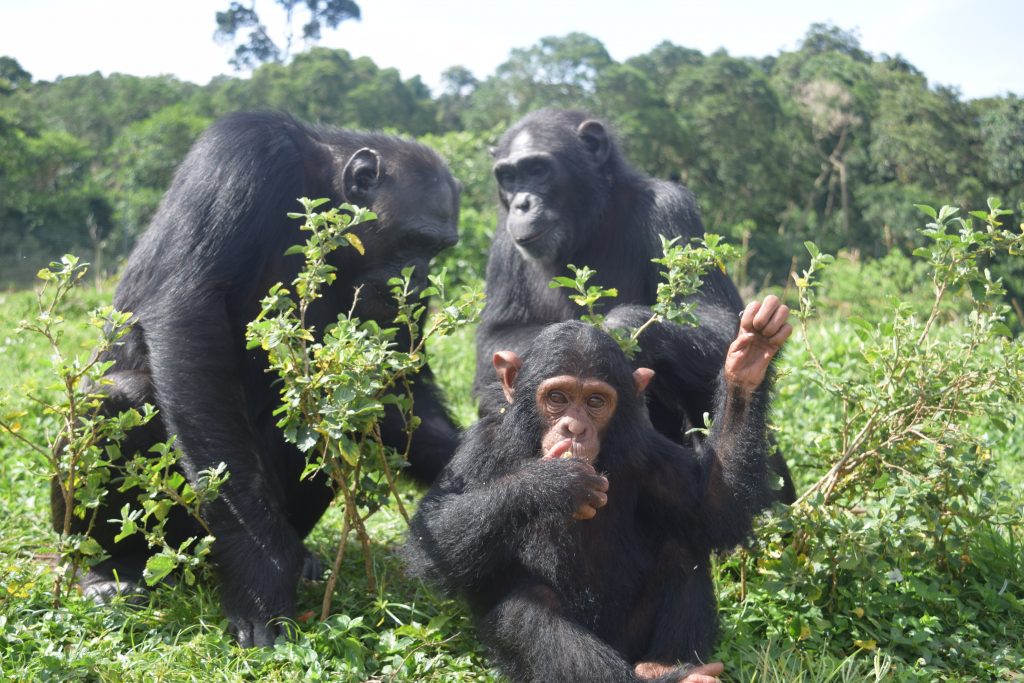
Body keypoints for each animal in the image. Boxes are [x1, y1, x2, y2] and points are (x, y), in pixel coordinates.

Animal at [50, 111, 460, 647]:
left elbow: (394, 389)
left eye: (440, 250)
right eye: (415, 240)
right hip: (175, 538)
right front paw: (259, 573)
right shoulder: (242, 154)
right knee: (116, 399)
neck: (321, 184)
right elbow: (189, 315)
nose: (420, 279)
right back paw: (108, 571)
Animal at [407, 296, 790, 683]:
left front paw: (748, 361)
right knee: (528, 606)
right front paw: (553, 483)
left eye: (595, 402)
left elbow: (711, 507)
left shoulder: (646, 449)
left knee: (679, 550)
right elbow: (432, 537)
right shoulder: (479, 448)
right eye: (557, 397)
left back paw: (668, 666)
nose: (574, 428)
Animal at [475, 107, 794, 501]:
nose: (521, 202)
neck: (589, 222)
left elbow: (718, 319)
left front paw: (616, 332)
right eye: (508, 176)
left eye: (537, 169)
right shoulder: (503, 240)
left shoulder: (672, 209)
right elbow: (496, 336)